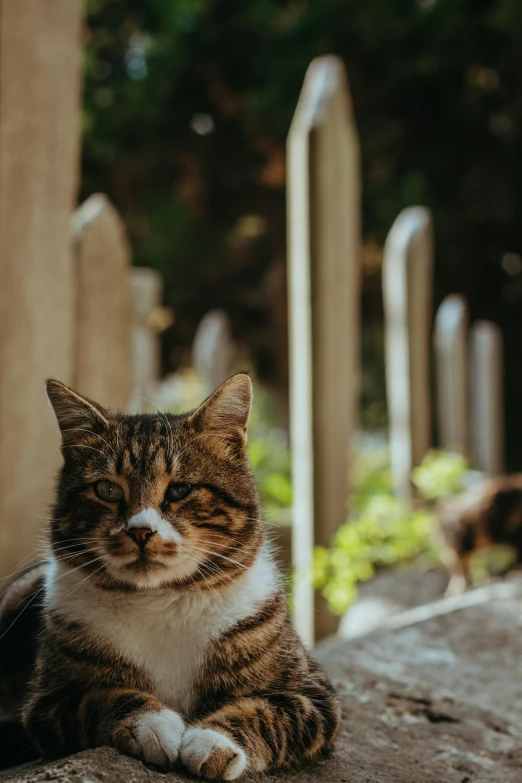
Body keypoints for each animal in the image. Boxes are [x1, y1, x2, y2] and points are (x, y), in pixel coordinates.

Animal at [0, 376, 338, 780]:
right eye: (107, 489)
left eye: (179, 490)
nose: (141, 531)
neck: (161, 600)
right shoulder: (47, 702)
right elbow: (103, 698)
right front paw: (154, 725)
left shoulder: (313, 694)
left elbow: (264, 712)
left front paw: (212, 742)